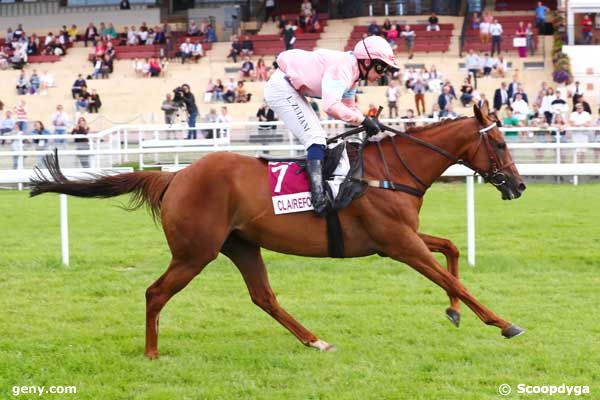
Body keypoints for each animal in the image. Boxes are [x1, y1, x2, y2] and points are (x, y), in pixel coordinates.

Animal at [30, 104, 524, 358]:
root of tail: (175, 176)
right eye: (500, 143)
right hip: (195, 252)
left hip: (241, 246)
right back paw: (151, 352)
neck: (388, 172)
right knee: (156, 292)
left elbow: (452, 251)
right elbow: (453, 277)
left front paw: (455, 313)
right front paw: (503, 323)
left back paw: (314, 340)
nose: (518, 185)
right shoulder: (398, 243)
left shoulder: (398, 240)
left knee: (263, 297)